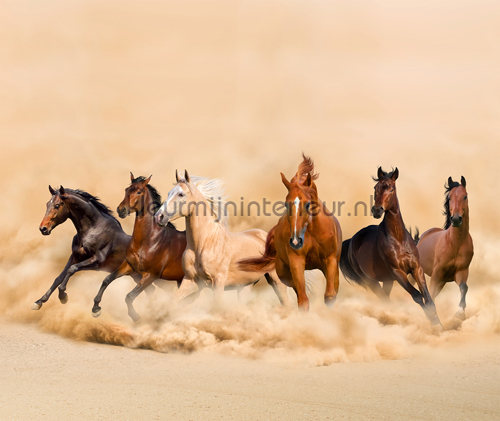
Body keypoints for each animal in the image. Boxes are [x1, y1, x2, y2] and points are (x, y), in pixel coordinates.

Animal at [90, 174, 186, 322]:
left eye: (139, 191)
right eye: (127, 189)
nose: (121, 210)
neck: (149, 242)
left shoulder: (151, 275)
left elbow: (130, 296)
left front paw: (136, 317)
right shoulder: (130, 266)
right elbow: (107, 279)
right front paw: (95, 309)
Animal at [155, 170, 290, 306]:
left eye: (181, 194)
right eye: (169, 193)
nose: (159, 217)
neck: (204, 244)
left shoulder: (218, 282)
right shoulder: (191, 281)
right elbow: (173, 301)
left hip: (275, 279)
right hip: (245, 286)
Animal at [237, 153, 340, 308]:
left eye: (308, 204)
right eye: (286, 204)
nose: (296, 241)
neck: (312, 231)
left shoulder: (330, 260)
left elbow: (330, 296)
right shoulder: (296, 261)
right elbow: (303, 300)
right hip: (283, 273)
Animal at [340, 167, 442, 324]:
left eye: (391, 189)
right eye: (376, 187)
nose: (377, 210)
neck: (398, 239)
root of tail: (352, 240)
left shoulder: (417, 268)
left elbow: (428, 298)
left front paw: (439, 325)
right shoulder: (397, 272)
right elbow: (417, 296)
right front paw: (434, 324)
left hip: (387, 281)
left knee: (386, 299)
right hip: (372, 282)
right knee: (384, 300)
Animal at [414, 176, 472, 318]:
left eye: (465, 196)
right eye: (449, 197)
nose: (456, 219)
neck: (455, 243)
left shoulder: (461, 272)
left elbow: (464, 287)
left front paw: (460, 313)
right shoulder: (437, 273)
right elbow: (430, 296)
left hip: (443, 281)